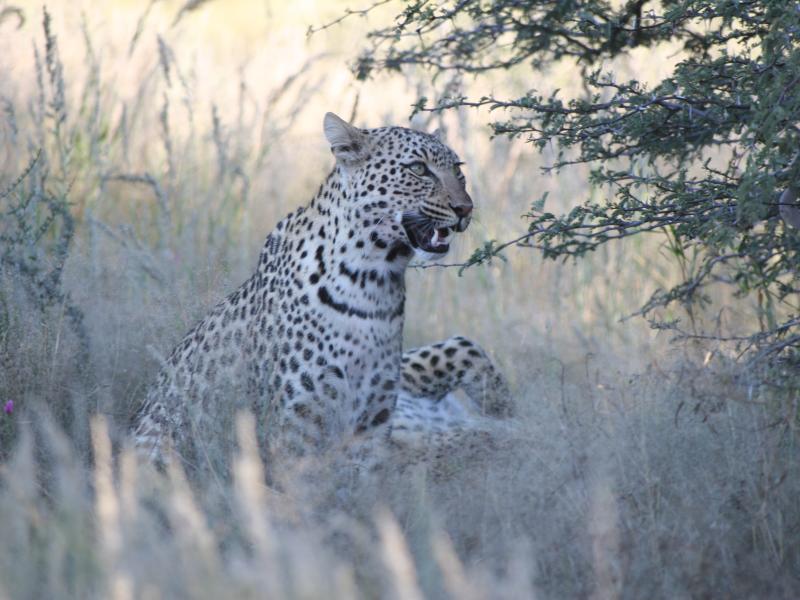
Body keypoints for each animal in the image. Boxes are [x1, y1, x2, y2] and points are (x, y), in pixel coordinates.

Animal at [130, 113, 506, 468]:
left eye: (457, 170)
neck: (376, 278)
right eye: (418, 169)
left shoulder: (373, 421)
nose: (465, 209)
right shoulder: (296, 427)